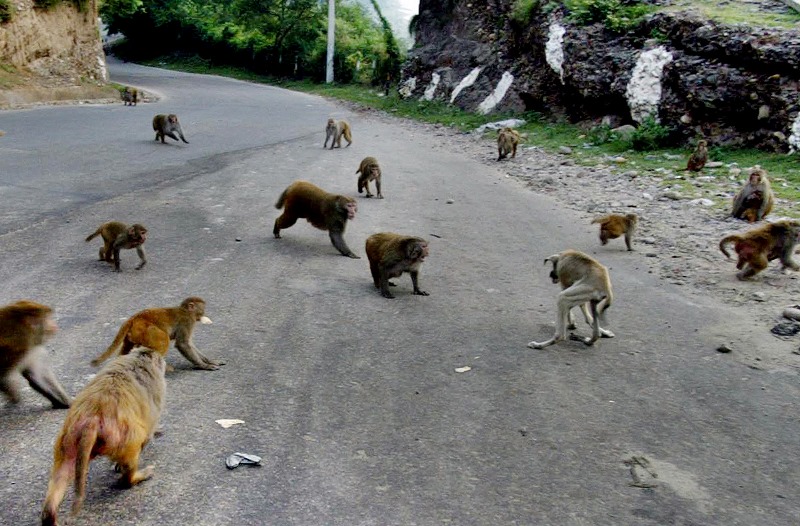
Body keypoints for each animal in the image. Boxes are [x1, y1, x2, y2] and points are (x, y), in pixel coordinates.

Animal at [41, 350, 166, 526]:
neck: (139, 360)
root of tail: (92, 419)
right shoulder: (157, 389)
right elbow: (148, 432)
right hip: (120, 436)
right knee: (134, 445)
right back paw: (134, 477)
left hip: (68, 438)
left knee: (63, 470)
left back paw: (49, 514)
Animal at [90, 296, 220, 372]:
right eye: (202, 309)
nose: (204, 314)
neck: (186, 311)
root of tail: (134, 318)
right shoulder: (188, 321)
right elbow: (183, 344)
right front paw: (204, 366)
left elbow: (189, 344)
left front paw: (209, 361)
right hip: (146, 329)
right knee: (163, 340)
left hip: (134, 334)